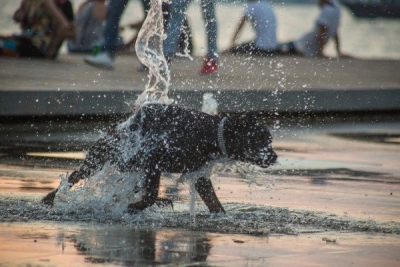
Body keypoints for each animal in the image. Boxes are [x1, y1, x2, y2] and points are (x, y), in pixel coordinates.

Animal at [42, 103, 276, 215]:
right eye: (262, 140)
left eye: (269, 140)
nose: (274, 156)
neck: (209, 134)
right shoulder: (152, 162)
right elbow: (150, 196)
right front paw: (132, 207)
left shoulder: (199, 175)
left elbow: (214, 202)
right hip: (101, 158)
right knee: (74, 175)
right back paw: (52, 197)